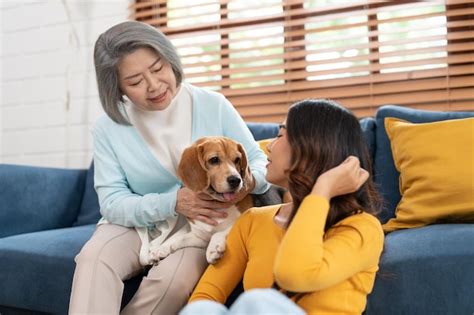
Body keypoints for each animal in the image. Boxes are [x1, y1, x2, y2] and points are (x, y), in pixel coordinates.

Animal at [149, 137, 256, 266]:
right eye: (214, 160)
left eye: (237, 159)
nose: (236, 180)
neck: (217, 205)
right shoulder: (201, 237)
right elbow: (179, 239)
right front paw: (160, 249)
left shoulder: (243, 218)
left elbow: (222, 231)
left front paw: (213, 248)